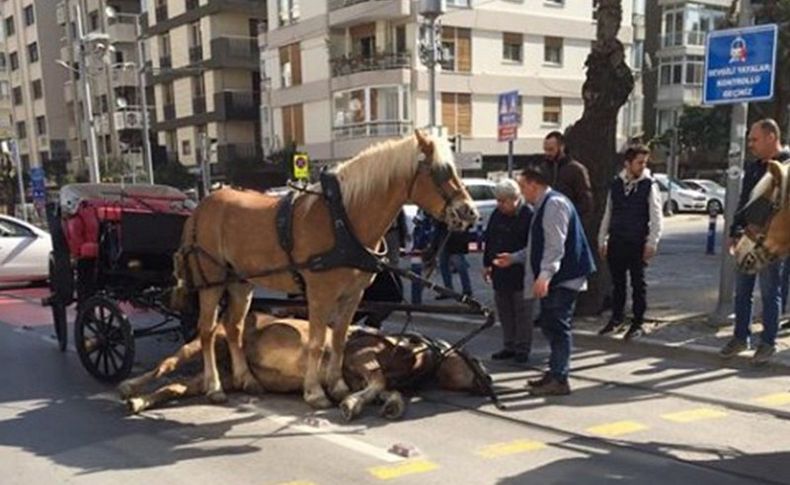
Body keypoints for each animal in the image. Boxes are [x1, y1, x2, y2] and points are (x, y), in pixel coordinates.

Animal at [118, 314, 492, 420]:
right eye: (471, 359)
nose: (488, 381)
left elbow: (386, 390)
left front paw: (390, 406)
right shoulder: (360, 357)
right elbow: (379, 382)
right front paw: (352, 404)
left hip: (218, 377)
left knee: (175, 386)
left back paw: (138, 402)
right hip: (205, 341)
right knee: (166, 366)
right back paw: (128, 386)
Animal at [172, 130, 476, 406]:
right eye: (438, 172)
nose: (469, 212)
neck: (343, 219)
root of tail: (200, 207)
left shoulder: (353, 294)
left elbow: (339, 339)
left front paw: (338, 386)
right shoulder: (320, 293)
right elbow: (317, 343)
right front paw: (315, 392)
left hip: (240, 282)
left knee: (234, 327)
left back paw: (246, 378)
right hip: (211, 282)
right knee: (207, 330)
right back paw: (214, 386)